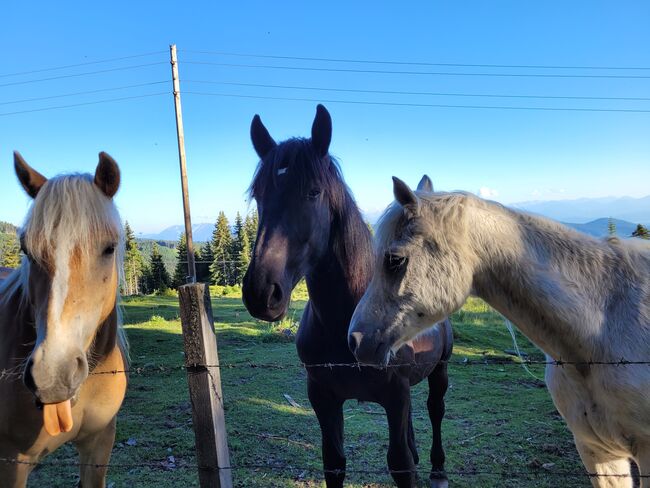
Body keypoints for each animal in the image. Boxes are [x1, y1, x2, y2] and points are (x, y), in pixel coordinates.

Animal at [242, 107, 450, 488]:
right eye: (258, 195)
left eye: (313, 192)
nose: (261, 291)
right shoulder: (324, 397)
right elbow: (334, 462)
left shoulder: (395, 395)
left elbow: (400, 464)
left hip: (440, 369)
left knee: (435, 409)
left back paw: (439, 469)